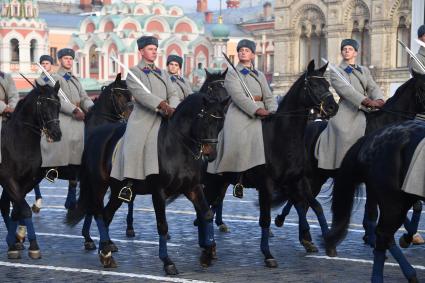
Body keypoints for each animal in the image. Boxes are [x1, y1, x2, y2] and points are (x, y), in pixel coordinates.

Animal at [0, 82, 61, 260]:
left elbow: (17, 210)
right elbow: (25, 210)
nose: (56, 133)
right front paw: (32, 246)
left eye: (58, 105)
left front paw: (16, 241)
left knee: (4, 206)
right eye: (43, 104)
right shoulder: (8, 179)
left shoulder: (28, 180)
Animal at [65, 70, 229, 276]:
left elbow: (206, 214)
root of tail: (96, 134)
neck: (178, 147)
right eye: (206, 119)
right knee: (98, 212)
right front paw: (168, 262)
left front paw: (207, 253)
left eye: (221, 123)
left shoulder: (193, 187)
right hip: (99, 185)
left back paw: (106, 251)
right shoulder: (158, 192)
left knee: (106, 214)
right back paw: (100, 246)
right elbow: (162, 225)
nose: (211, 154)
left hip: (117, 190)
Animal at [202, 60, 338, 268]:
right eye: (313, 85)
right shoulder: (266, 185)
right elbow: (265, 219)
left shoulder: (298, 181)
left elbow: (314, 206)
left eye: (328, 84)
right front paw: (268, 254)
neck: (282, 138)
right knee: (206, 208)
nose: (333, 107)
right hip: (211, 182)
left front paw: (323, 240)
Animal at [274, 70, 425, 252]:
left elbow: (413, 205)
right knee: (301, 201)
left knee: (302, 201)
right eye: (424, 87)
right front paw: (378, 237)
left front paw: (405, 236)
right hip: (311, 176)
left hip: (318, 178)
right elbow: (376, 210)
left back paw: (299, 234)